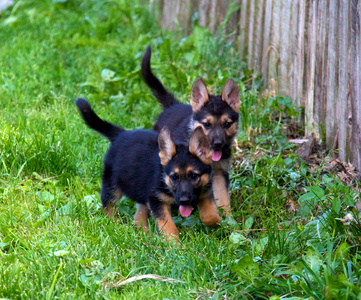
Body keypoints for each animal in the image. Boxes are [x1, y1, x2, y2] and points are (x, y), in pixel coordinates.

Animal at [75, 97, 219, 238]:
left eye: (194, 176)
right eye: (174, 177)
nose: (184, 201)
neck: (165, 181)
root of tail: (121, 135)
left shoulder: (204, 189)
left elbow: (211, 213)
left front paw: (212, 221)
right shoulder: (157, 201)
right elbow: (169, 226)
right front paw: (174, 243)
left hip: (141, 190)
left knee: (138, 217)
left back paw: (147, 236)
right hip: (113, 185)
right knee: (107, 205)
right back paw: (115, 225)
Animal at [141, 44, 239, 214]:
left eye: (227, 124)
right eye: (207, 124)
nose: (217, 144)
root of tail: (172, 106)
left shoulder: (219, 173)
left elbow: (223, 198)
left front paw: (228, 217)